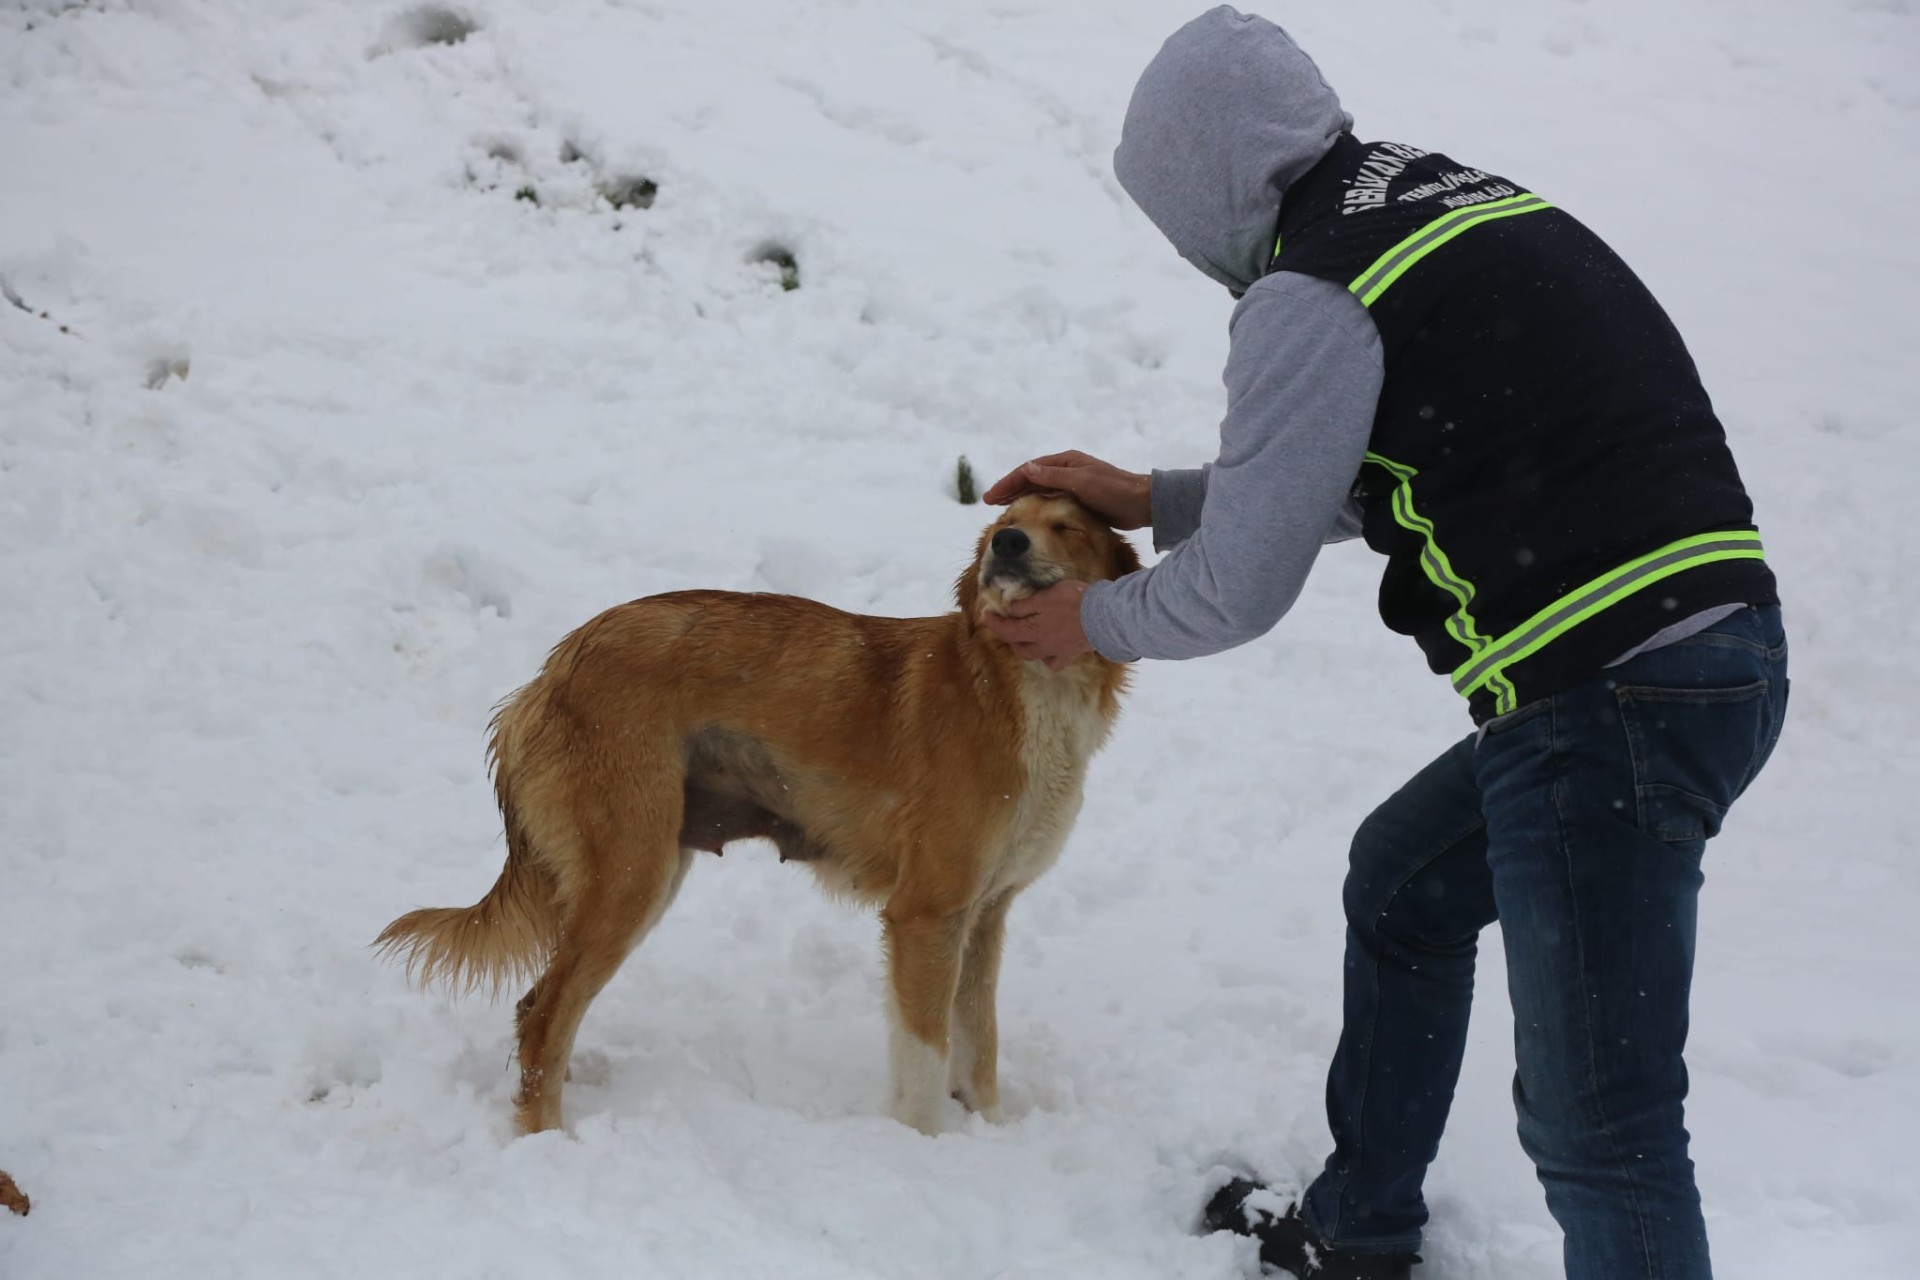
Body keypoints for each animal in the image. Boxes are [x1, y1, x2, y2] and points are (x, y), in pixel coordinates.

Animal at [382, 495, 1144, 1136]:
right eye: (1004, 523)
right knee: (543, 1013)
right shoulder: (925, 915)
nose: (1008, 545)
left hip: (647, 870)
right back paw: (548, 1140)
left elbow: (979, 1047)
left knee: (541, 1010)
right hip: (631, 877)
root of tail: (550, 673)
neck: (1020, 688)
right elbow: (926, 1063)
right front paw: (922, 1150)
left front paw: (991, 1130)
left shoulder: (983, 916)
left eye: (1067, 526)